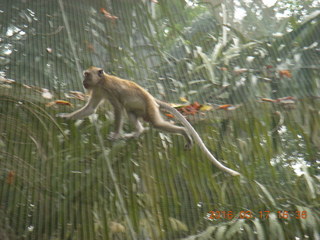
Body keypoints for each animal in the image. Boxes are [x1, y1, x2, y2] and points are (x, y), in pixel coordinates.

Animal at [56, 66, 239, 175]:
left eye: (87, 75)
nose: (83, 81)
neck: (101, 81)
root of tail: (151, 97)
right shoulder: (98, 90)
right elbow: (91, 109)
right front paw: (66, 117)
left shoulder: (109, 89)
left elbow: (118, 109)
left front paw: (115, 135)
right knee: (132, 113)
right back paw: (136, 133)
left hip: (150, 108)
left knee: (155, 123)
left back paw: (184, 132)